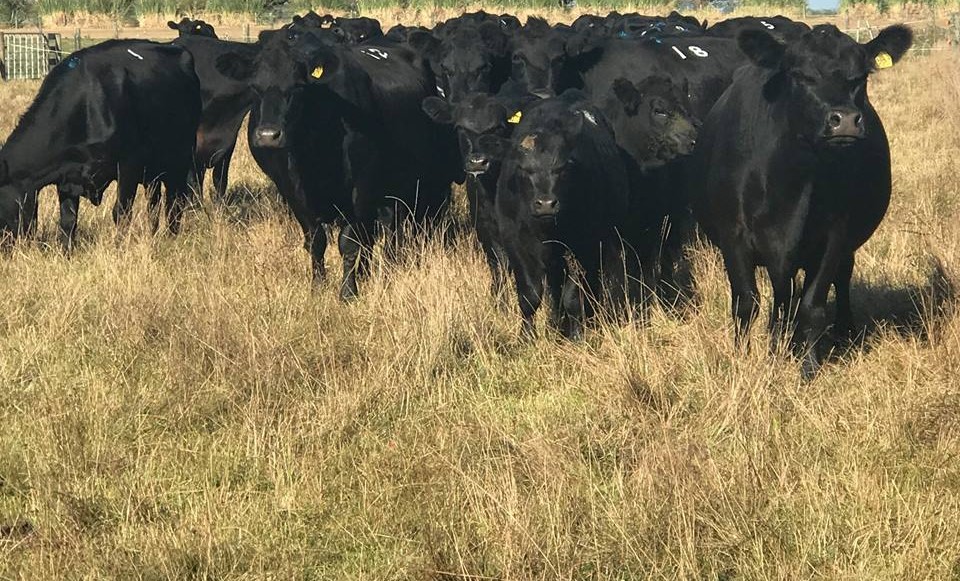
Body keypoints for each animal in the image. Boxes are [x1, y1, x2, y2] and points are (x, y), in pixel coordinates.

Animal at [0, 40, 200, 248]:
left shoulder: (129, 164)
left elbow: (121, 212)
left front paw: (119, 246)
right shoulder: (67, 175)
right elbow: (68, 220)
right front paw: (66, 250)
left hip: (180, 157)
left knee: (175, 200)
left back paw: (172, 236)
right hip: (153, 171)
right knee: (154, 202)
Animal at [215, 27, 460, 298]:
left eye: (297, 87)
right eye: (255, 87)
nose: (268, 135)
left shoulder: (360, 187)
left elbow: (349, 242)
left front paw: (348, 292)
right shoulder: (291, 190)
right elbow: (316, 240)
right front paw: (318, 286)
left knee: (393, 229)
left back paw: (388, 265)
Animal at [688, 24, 913, 378]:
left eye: (860, 77)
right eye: (800, 75)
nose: (845, 119)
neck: (795, 183)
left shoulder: (834, 237)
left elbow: (812, 306)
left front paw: (807, 368)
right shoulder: (732, 236)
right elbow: (746, 302)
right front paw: (742, 361)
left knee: (837, 278)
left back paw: (841, 331)